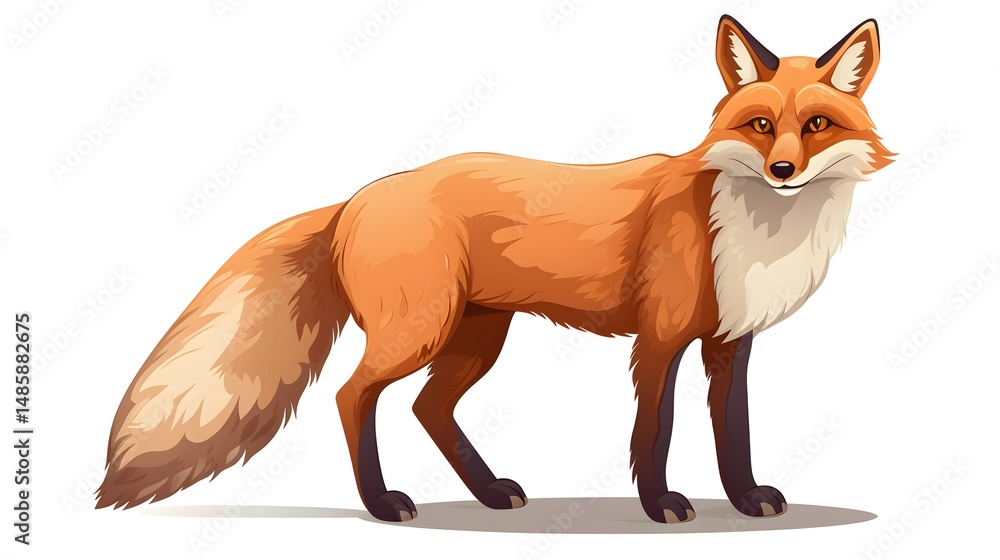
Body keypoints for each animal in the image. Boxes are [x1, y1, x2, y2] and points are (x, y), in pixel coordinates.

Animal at [97, 15, 893, 524]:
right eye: (759, 125)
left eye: (816, 125)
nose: (784, 170)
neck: (752, 226)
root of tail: (357, 196)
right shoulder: (659, 339)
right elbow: (656, 432)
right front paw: (661, 506)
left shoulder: (729, 344)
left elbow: (735, 432)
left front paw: (747, 499)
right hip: (420, 333)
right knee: (354, 397)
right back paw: (382, 505)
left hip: (477, 337)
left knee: (427, 408)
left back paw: (486, 493)